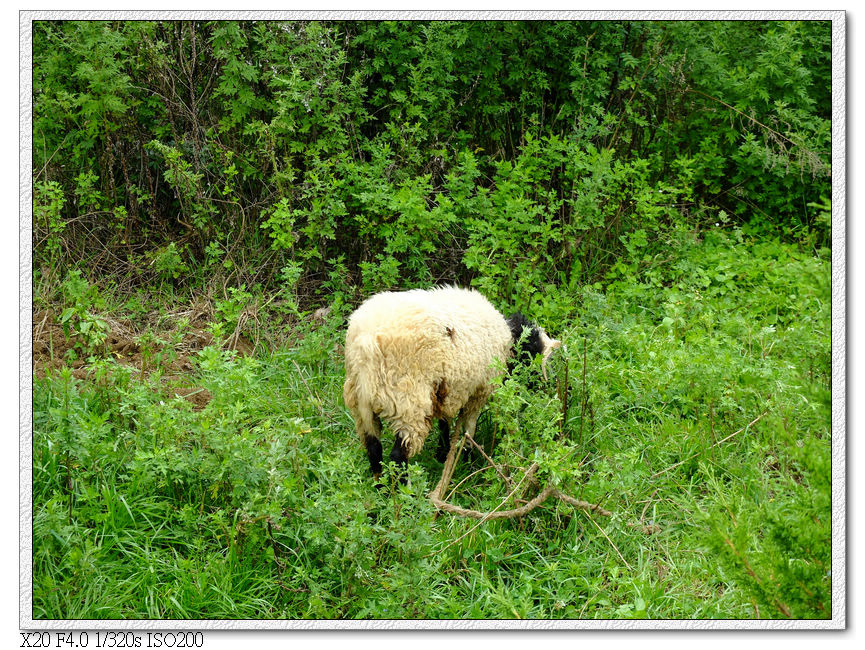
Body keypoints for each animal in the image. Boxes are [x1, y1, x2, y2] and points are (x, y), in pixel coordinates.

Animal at [340, 286, 564, 478]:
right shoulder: (479, 390)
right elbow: (469, 428)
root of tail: (365, 346)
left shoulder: (446, 387)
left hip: (360, 403)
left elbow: (444, 422)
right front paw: (468, 458)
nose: (544, 388)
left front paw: (443, 452)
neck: (508, 342)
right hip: (407, 401)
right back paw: (404, 497)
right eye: (536, 356)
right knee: (397, 456)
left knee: (373, 449)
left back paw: (380, 489)